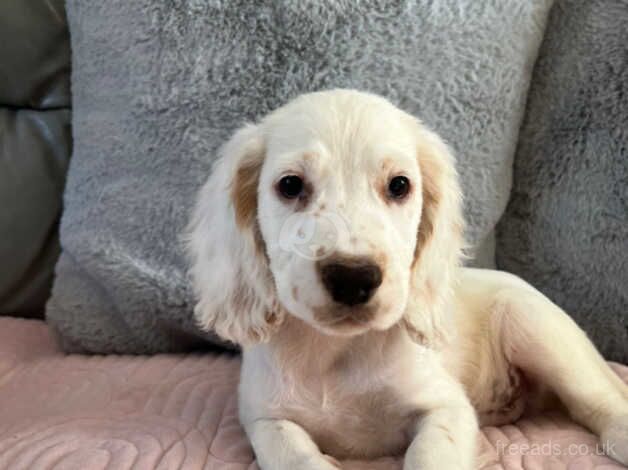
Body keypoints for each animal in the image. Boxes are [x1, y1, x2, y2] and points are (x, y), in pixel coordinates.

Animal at [186, 89, 628, 470]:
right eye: (290, 185)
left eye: (399, 185)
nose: (353, 278)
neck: (338, 353)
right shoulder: (265, 419)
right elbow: (292, 454)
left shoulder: (447, 407)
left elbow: (429, 454)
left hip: (536, 328)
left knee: (599, 400)